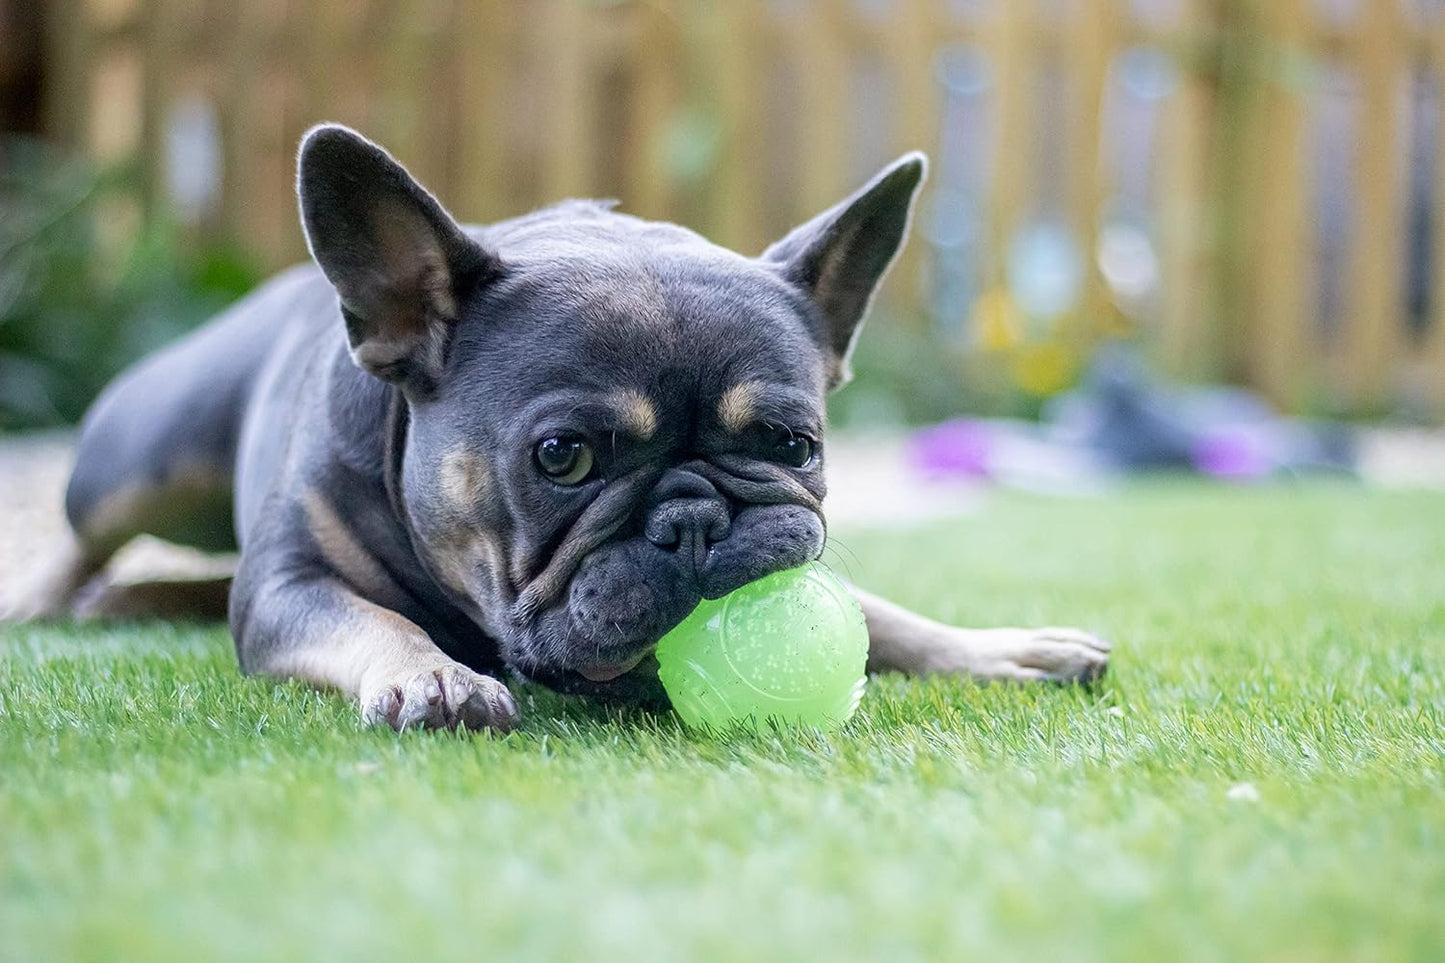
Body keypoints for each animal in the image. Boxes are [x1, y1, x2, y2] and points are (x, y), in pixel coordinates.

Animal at [5, 127, 1103, 728]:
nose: (694, 519)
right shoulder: (285, 588)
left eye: (793, 446)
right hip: (141, 464)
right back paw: (49, 600)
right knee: (89, 532)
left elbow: (882, 613)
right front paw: (434, 674)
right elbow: (371, 619)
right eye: (563, 457)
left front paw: (998, 648)